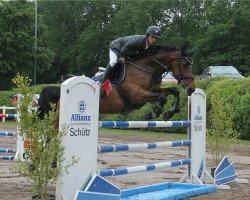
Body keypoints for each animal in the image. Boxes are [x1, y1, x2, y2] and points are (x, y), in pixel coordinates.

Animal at [38, 44, 196, 128]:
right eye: (185, 65)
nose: (192, 89)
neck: (147, 69)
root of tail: (61, 88)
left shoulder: (153, 90)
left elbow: (173, 91)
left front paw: (170, 113)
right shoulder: (137, 96)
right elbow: (162, 97)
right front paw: (152, 114)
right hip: (58, 118)